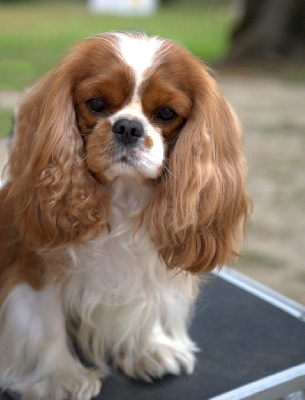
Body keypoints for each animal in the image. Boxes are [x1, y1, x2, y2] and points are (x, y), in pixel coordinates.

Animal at [0, 32, 249, 400]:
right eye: (96, 104)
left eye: (166, 113)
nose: (128, 127)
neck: (124, 194)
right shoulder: (34, 267)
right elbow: (45, 321)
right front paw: (60, 375)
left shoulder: (143, 268)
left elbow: (141, 301)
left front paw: (148, 348)